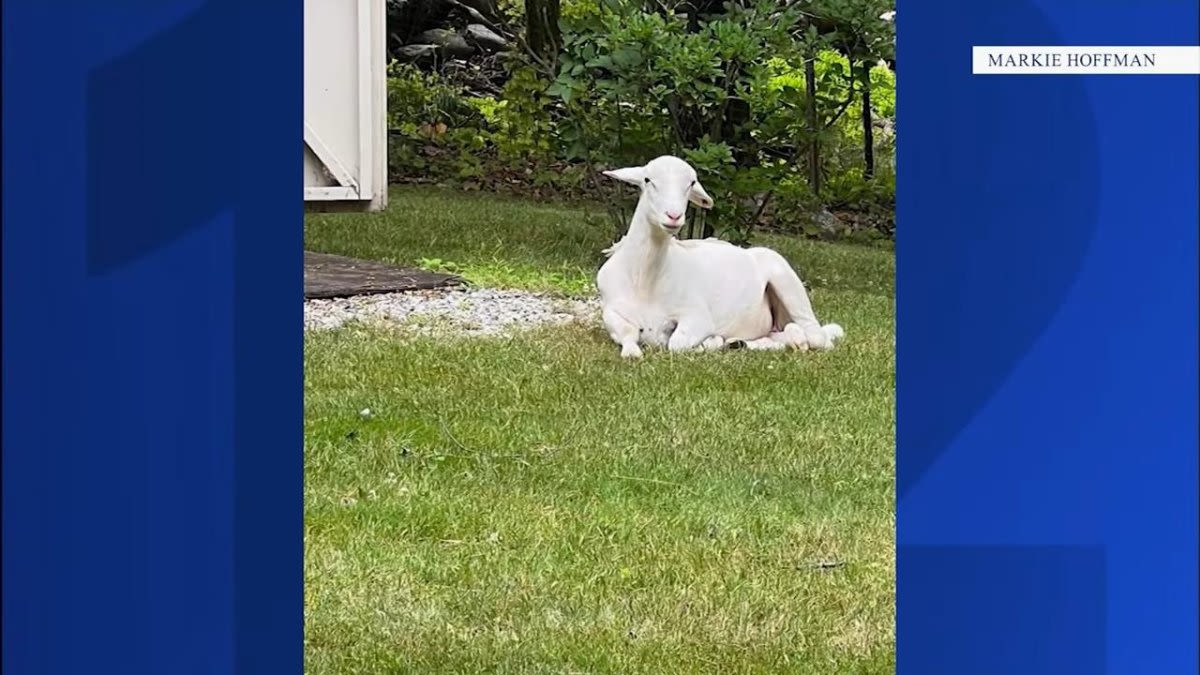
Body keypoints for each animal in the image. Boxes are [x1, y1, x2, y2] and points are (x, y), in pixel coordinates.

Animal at [592, 154, 840, 357]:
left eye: (691, 183)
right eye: (647, 179)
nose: (674, 216)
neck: (644, 279)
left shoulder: (697, 316)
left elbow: (676, 344)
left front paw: (707, 343)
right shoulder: (610, 312)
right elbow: (628, 338)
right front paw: (633, 349)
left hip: (786, 279)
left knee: (818, 338)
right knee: (779, 337)